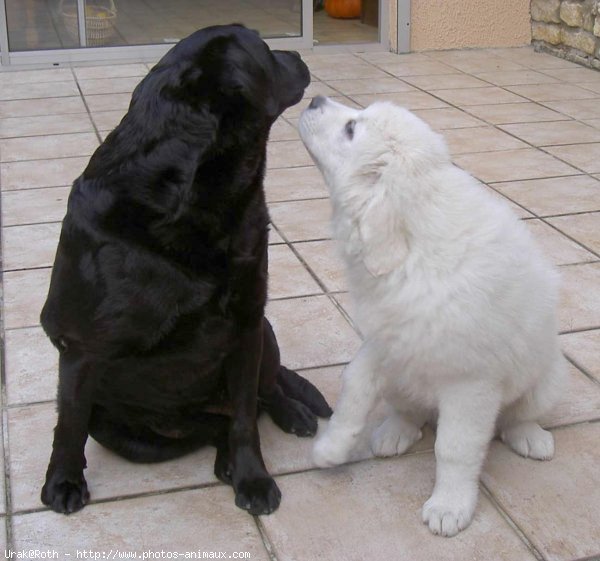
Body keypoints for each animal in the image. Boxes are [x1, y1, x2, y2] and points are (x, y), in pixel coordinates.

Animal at [41, 26, 332, 516]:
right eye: (263, 49)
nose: (297, 54)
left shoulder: (247, 323)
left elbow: (245, 421)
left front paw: (254, 478)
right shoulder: (80, 343)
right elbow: (70, 424)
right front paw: (63, 481)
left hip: (266, 333)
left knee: (262, 393)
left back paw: (289, 415)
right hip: (127, 433)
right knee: (209, 427)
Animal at [298, 97, 568, 540]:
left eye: (352, 128)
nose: (314, 99)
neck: (413, 251)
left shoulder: (470, 383)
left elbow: (454, 448)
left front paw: (449, 507)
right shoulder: (387, 340)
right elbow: (353, 388)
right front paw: (331, 448)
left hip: (545, 380)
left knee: (518, 417)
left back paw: (531, 438)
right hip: (403, 379)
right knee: (410, 411)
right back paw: (395, 432)